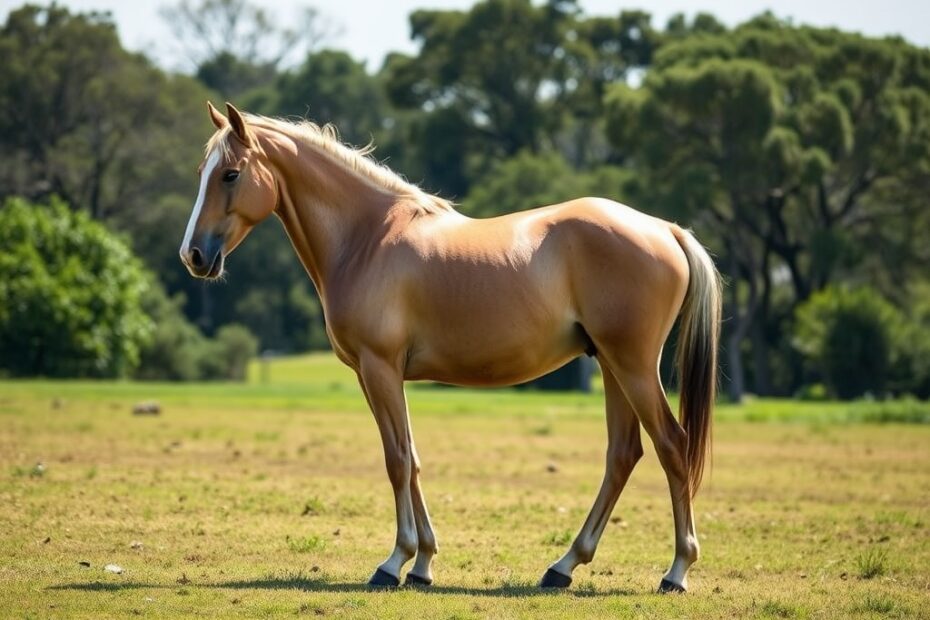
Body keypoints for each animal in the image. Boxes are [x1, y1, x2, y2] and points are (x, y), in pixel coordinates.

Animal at [179, 102, 722, 594]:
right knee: (623, 455)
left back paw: (676, 573)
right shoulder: (375, 375)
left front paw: (393, 563)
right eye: (203, 173)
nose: (193, 255)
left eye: (230, 174)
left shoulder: (379, 368)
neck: (366, 237)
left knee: (672, 446)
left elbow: (397, 460)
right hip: (611, 365)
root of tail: (665, 229)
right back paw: (563, 567)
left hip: (633, 368)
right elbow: (412, 457)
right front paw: (422, 565)